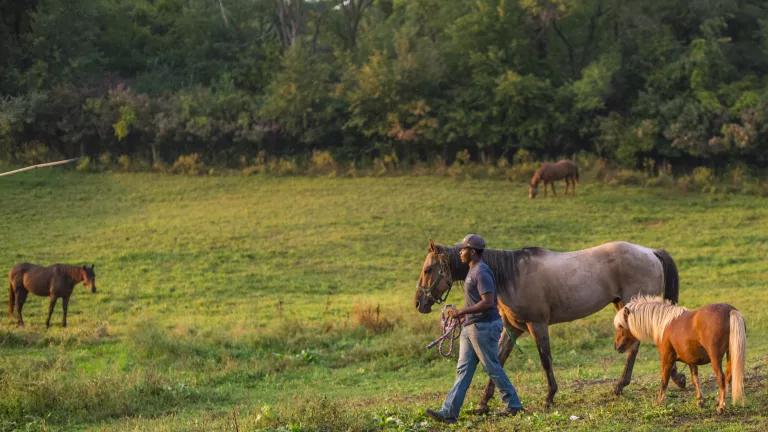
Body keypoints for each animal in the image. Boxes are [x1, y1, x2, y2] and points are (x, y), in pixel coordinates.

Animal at [414, 241, 684, 410]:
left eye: (428, 269)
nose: (419, 303)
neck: (510, 276)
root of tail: (650, 252)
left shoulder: (537, 325)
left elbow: (545, 359)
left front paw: (549, 396)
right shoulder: (513, 328)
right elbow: (497, 361)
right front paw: (483, 403)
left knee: (637, 345)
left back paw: (622, 385)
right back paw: (674, 378)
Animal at [616, 296, 748, 414]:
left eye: (621, 326)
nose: (617, 347)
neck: (664, 323)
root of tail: (730, 311)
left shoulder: (667, 358)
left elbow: (664, 381)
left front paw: (658, 402)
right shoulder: (691, 361)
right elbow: (695, 380)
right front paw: (700, 401)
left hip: (715, 358)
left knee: (721, 378)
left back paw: (721, 407)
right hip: (730, 354)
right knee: (728, 376)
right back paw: (719, 402)